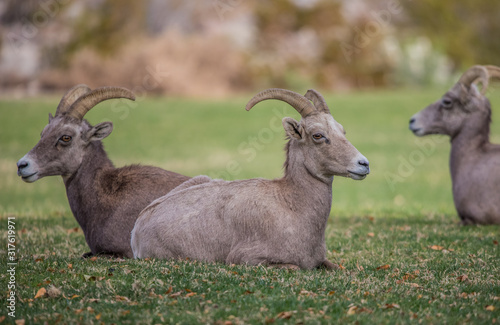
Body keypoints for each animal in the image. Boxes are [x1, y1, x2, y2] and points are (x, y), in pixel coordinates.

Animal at [131, 88, 370, 268]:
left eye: (342, 131)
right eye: (318, 135)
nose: (363, 164)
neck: (292, 208)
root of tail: (138, 229)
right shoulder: (249, 260)